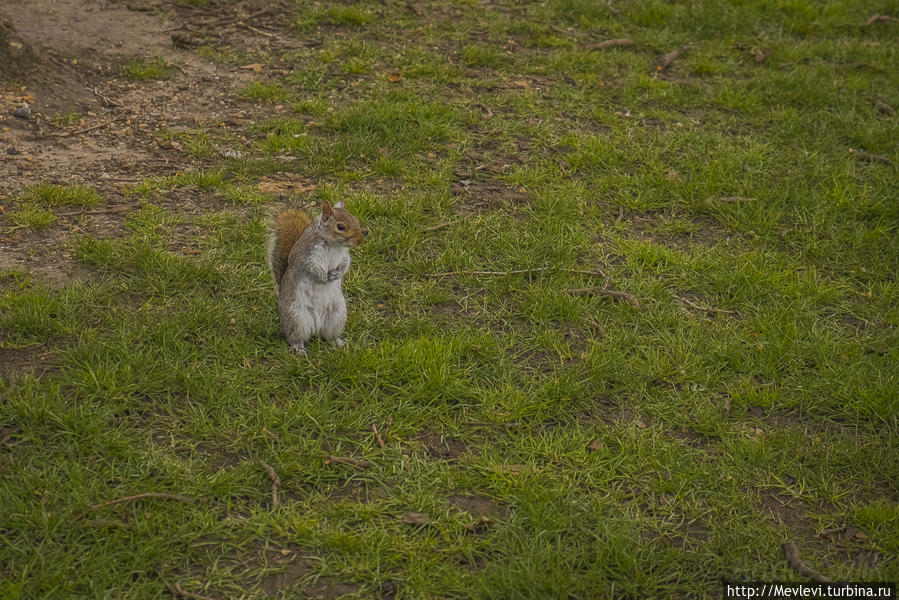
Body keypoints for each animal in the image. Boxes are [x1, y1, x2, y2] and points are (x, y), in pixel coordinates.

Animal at [266, 202, 368, 354]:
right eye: (341, 227)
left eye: (355, 219)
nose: (360, 241)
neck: (333, 245)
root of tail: (316, 326)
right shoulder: (304, 255)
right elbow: (310, 268)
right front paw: (323, 277)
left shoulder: (344, 255)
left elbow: (345, 264)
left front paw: (337, 274)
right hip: (297, 318)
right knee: (296, 337)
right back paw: (299, 348)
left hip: (336, 316)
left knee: (329, 335)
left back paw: (337, 343)